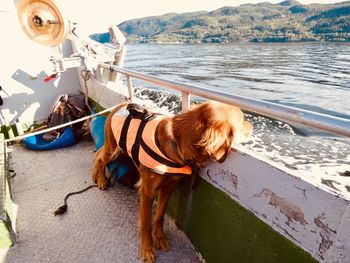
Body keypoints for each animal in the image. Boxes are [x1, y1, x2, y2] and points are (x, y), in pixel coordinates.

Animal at [92, 100, 252, 262]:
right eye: (241, 121)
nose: (251, 126)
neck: (177, 142)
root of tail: (121, 105)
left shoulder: (168, 187)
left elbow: (160, 215)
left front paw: (159, 237)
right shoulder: (147, 191)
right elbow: (146, 222)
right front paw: (147, 248)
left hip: (120, 149)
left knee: (99, 155)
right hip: (113, 147)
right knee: (100, 158)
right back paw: (100, 179)